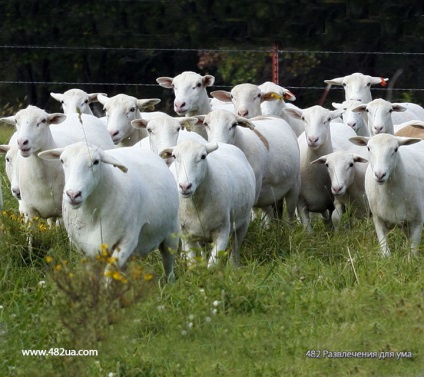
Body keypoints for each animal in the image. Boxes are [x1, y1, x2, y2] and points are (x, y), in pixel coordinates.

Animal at [39, 141, 180, 280]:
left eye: (96, 161)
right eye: (62, 160)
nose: (73, 194)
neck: (91, 214)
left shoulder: (127, 241)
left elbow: (109, 272)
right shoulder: (84, 249)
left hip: (171, 234)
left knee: (169, 264)